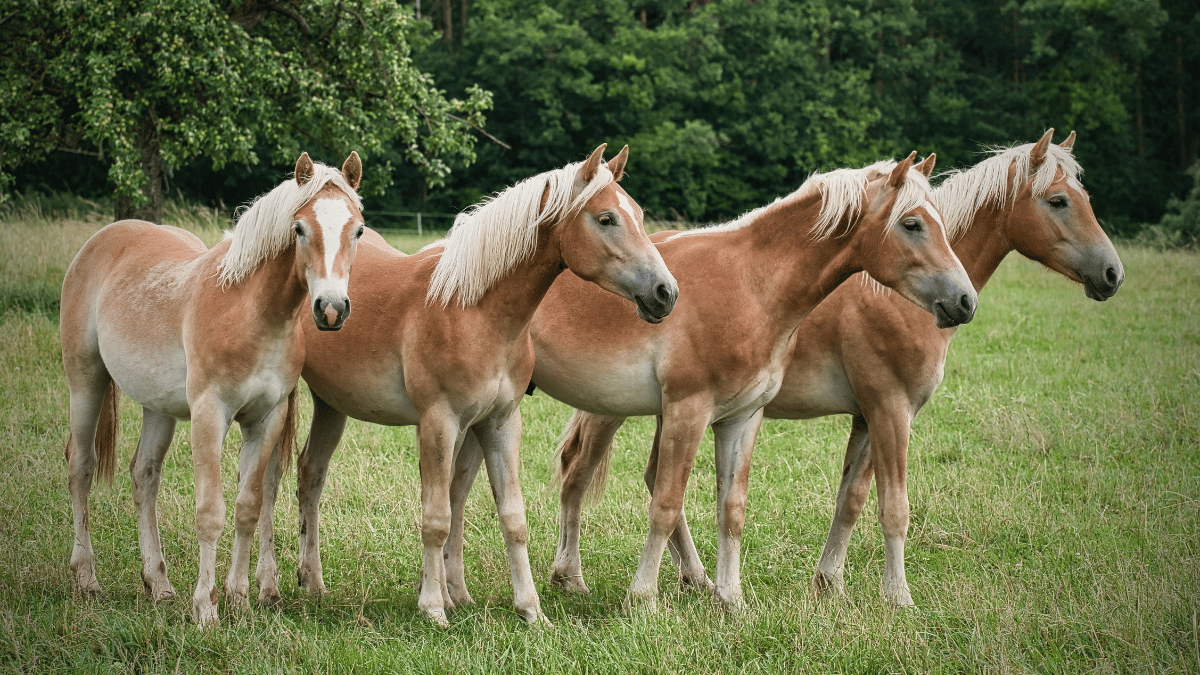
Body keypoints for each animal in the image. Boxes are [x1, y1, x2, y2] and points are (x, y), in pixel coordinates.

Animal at [60, 152, 366, 626]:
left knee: (144, 475)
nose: (331, 309)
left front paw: (238, 598)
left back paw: (159, 585)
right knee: (81, 467)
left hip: (158, 408)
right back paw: (88, 579)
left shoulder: (267, 418)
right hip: (86, 383)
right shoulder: (209, 415)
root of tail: (101, 241)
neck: (251, 313)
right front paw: (206, 608)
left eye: (358, 230)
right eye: (299, 228)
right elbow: (210, 513)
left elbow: (247, 507)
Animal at [247, 145, 678, 626]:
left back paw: (313, 583)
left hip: (332, 405)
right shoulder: (439, 422)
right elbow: (437, 516)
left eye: (638, 214)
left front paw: (531, 611)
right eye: (606, 218)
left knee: (311, 476)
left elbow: (512, 517)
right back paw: (268, 587)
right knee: (270, 482)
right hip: (281, 405)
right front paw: (434, 607)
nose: (665, 292)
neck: (474, 311)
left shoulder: (500, 422)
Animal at [434, 151, 974, 613]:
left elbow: (732, 508)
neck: (753, 286)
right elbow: (666, 502)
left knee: (468, 490)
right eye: (912, 224)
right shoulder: (688, 411)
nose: (964, 301)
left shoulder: (742, 418)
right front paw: (643, 598)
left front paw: (730, 599)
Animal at [550, 129, 1124, 607]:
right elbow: (893, 507)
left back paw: (697, 579)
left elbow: (851, 500)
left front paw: (829, 583)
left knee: (650, 480)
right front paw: (898, 598)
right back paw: (572, 577)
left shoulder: (868, 416)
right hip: (611, 407)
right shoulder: (890, 408)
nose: (1112, 274)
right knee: (580, 473)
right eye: (1058, 201)